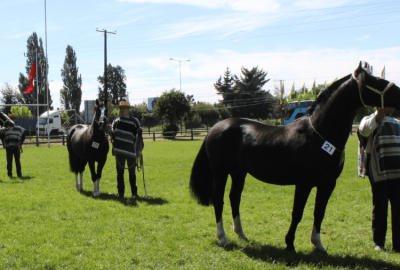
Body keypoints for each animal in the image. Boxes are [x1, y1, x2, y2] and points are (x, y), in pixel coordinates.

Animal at [189, 62, 400, 254]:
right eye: (375, 81)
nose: (399, 93)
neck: (319, 134)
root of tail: (216, 127)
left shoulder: (328, 184)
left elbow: (319, 212)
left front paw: (318, 244)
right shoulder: (304, 183)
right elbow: (297, 213)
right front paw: (289, 244)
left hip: (239, 173)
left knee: (234, 198)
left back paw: (241, 234)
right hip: (220, 172)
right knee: (219, 200)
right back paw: (223, 238)